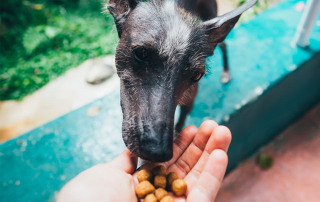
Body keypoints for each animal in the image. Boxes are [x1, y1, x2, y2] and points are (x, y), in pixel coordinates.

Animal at [107, 0, 258, 162]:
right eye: (141, 53)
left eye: (196, 75)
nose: (157, 152)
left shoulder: (190, 100)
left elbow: (180, 124)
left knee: (223, 45)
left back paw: (226, 72)